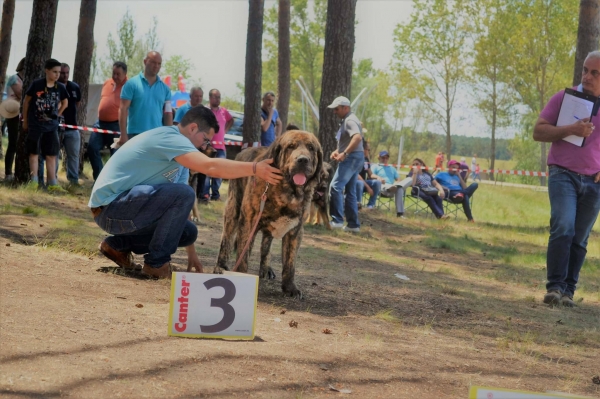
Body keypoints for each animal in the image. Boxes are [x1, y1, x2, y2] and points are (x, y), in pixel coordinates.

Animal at [216, 130, 324, 298]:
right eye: (291, 146)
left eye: (311, 148)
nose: (303, 160)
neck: (288, 192)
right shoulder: (249, 223)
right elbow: (243, 256)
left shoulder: (296, 231)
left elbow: (290, 263)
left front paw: (289, 287)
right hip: (233, 212)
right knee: (226, 241)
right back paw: (220, 266)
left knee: (266, 246)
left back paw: (266, 269)